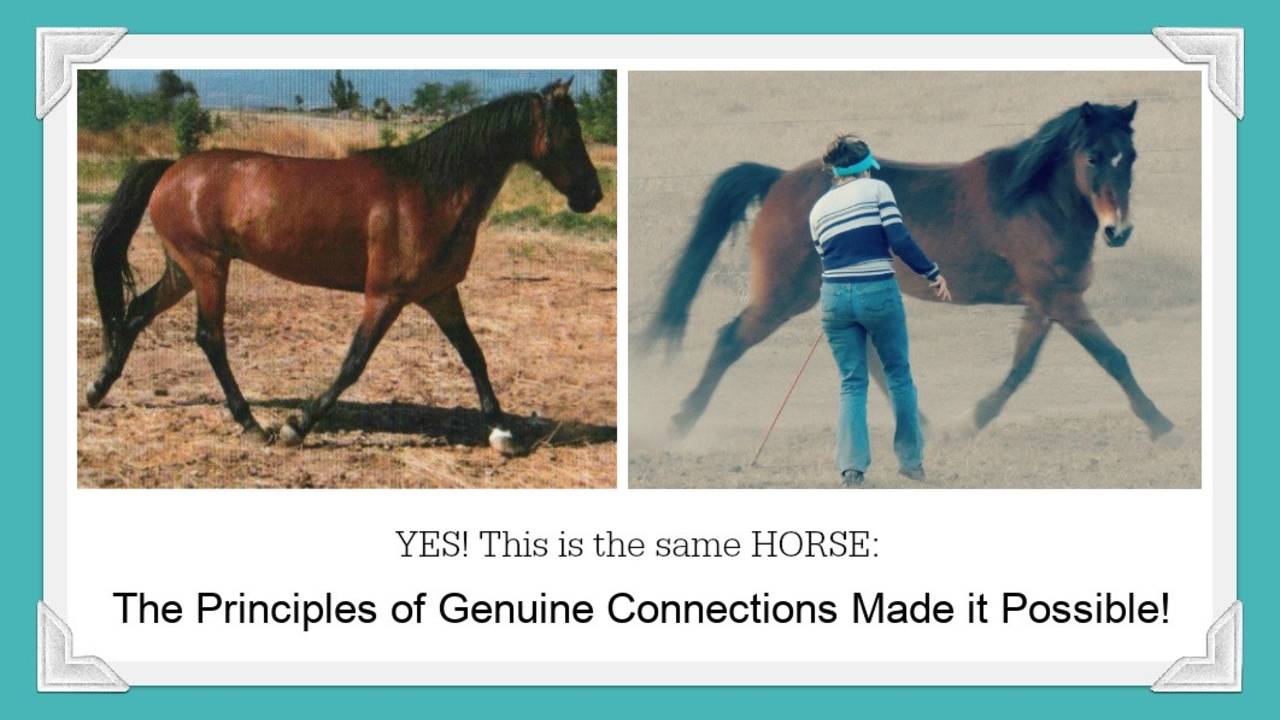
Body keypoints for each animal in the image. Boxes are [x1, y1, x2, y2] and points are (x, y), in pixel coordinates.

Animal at [85, 79, 603, 453]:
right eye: (569, 132)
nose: (593, 194)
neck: (428, 191)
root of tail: (172, 168)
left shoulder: (439, 293)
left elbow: (474, 355)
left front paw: (502, 432)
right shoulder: (386, 296)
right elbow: (354, 362)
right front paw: (296, 427)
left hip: (183, 270)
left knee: (135, 312)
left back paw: (96, 390)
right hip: (208, 267)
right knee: (210, 338)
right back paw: (251, 423)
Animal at [642, 101, 1179, 444]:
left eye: (1129, 156)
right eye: (1092, 156)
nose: (1118, 230)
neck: (1034, 200)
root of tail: (777, 181)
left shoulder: (1046, 301)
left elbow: (1021, 368)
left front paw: (967, 424)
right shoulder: (1059, 299)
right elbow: (1113, 358)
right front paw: (1162, 425)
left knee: (870, 363)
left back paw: (923, 426)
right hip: (782, 296)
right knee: (729, 339)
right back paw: (679, 423)